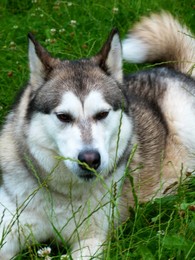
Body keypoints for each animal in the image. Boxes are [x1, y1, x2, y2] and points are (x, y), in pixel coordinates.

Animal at [0, 11, 194, 258]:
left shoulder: (92, 239)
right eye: (63, 116)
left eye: (102, 114)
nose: (90, 160)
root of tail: (177, 70)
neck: (63, 195)